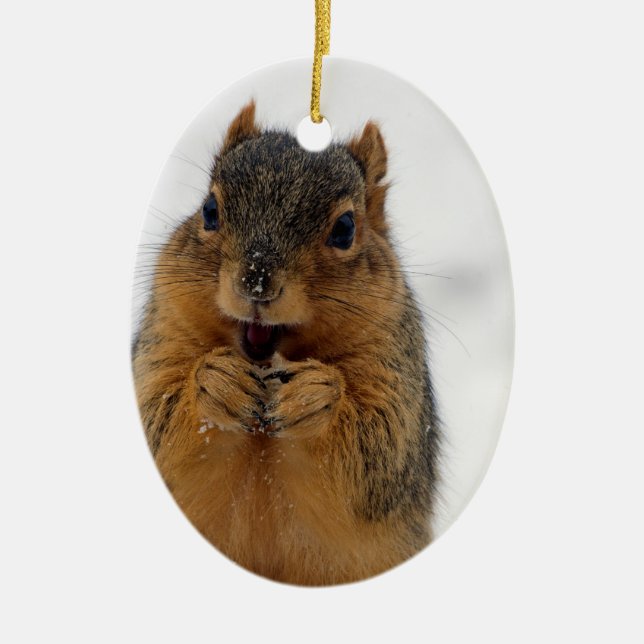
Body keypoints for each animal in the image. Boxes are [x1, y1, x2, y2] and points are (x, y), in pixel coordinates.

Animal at [132, 101, 440, 585]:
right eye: (209, 210)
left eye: (346, 228)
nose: (256, 281)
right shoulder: (164, 330)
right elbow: (155, 411)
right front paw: (216, 383)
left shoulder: (394, 364)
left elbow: (383, 449)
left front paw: (315, 395)